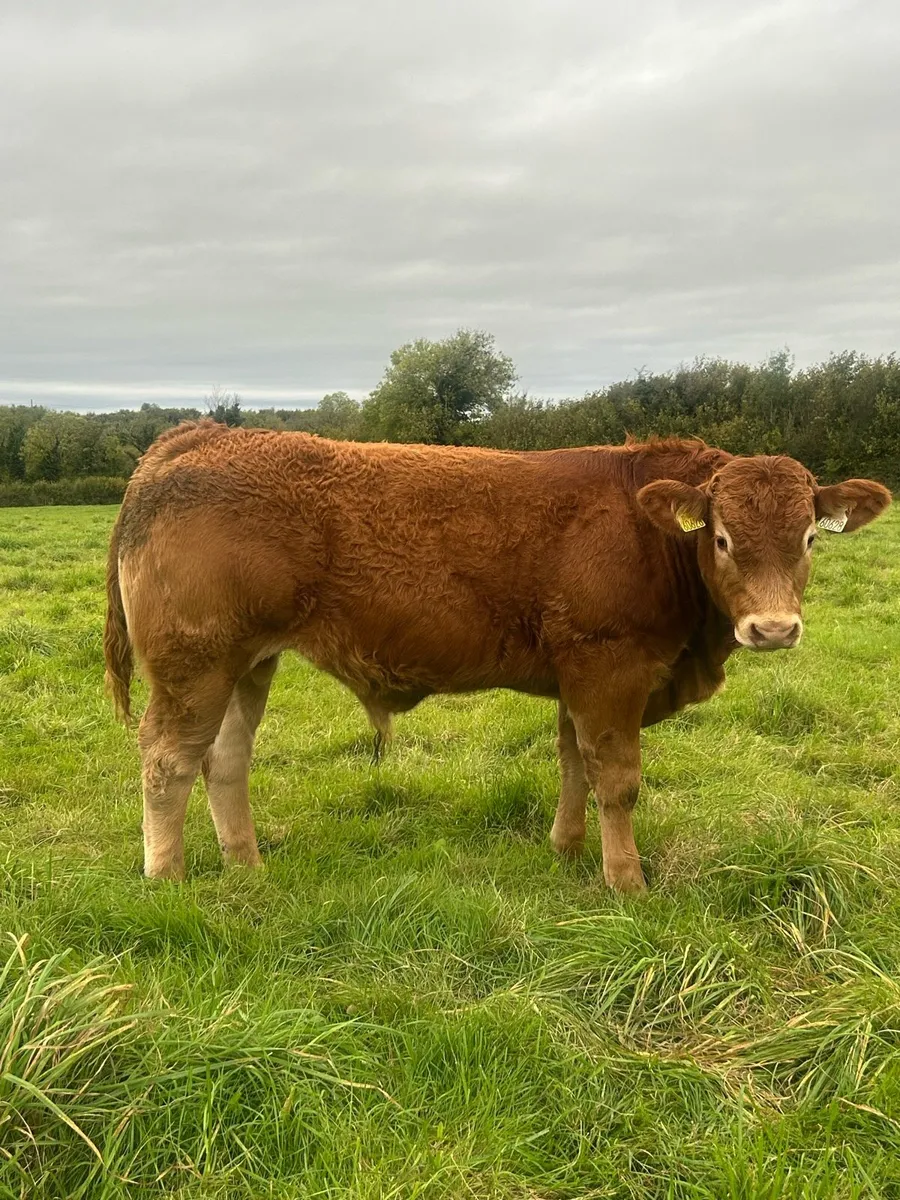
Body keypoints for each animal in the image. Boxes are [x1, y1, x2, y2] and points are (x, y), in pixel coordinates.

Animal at [103, 423, 891, 892]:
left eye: (810, 538)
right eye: (723, 538)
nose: (773, 629)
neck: (647, 533)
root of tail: (204, 435)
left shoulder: (579, 678)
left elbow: (574, 764)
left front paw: (567, 851)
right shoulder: (611, 670)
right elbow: (618, 780)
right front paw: (627, 881)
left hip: (249, 663)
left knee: (225, 759)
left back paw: (247, 866)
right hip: (194, 665)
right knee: (167, 760)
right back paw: (167, 880)